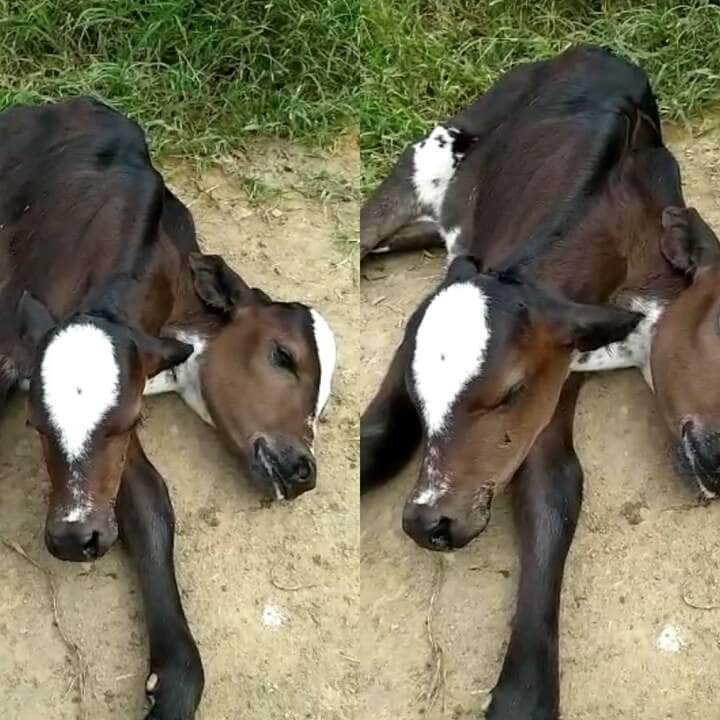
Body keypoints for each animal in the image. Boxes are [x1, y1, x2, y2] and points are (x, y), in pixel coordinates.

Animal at [360, 45, 716, 720]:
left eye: (509, 393)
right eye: (421, 396)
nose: (428, 522)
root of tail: (594, 51)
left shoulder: (554, 375)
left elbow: (556, 487)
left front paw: (523, 693)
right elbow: (381, 434)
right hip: (434, 154)